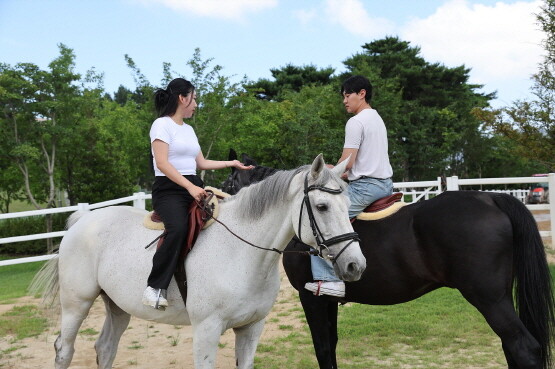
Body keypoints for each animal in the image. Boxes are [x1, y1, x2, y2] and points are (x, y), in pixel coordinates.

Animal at [32, 155, 368, 368]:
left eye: (348, 204)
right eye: (322, 206)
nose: (356, 265)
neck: (241, 254)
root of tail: (83, 220)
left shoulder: (251, 328)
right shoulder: (207, 329)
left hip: (117, 306)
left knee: (105, 348)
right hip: (76, 303)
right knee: (64, 349)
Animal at [223, 150, 555, 368]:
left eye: (227, 185)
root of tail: (491, 197)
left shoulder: (313, 298)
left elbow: (323, 349)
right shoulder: (328, 301)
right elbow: (332, 344)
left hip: (489, 298)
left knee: (523, 347)